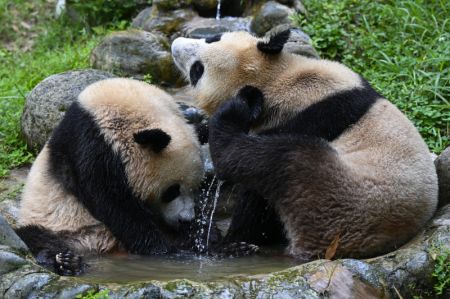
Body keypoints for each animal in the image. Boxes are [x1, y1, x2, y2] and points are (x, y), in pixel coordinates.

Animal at [14, 78, 204, 276]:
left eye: (197, 188)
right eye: (172, 191)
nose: (186, 220)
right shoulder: (91, 144)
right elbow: (113, 203)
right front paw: (161, 249)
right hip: (53, 223)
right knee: (35, 237)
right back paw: (66, 261)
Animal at [171, 29, 440, 260]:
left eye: (197, 70)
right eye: (213, 37)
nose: (175, 44)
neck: (273, 80)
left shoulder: (312, 117)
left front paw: (235, 110)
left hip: (340, 200)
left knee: (280, 162)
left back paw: (231, 243)